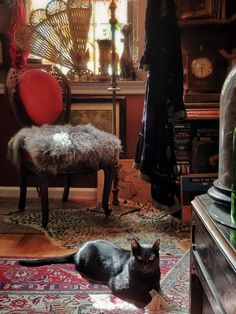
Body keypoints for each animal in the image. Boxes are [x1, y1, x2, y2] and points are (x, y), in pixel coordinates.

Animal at [19, 239, 161, 306]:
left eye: (151, 258)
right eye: (140, 258)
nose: (145, 266)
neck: (146, 277)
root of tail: (79, 249)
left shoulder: (156, 283)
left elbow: (158, 290)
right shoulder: (119, 285)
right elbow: (141, 293)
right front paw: (151, 299)